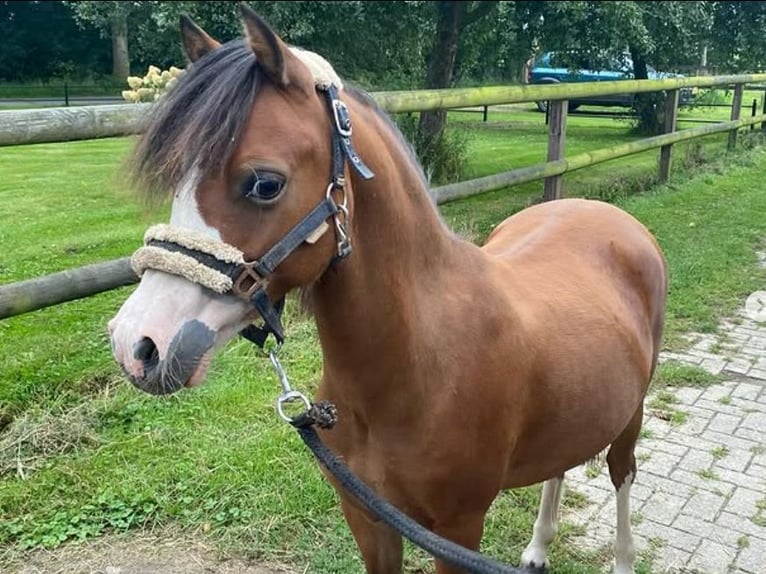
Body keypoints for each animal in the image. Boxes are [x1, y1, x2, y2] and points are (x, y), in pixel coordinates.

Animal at [108, 5, 664, 574]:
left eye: (265, 183)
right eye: (178, 177)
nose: (137, 344)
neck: (421, 359)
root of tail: (610, 216)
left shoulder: (457, 532)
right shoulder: (368, 518)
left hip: (631, 415)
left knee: (622, 473)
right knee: (561, 464)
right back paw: (536, 549)